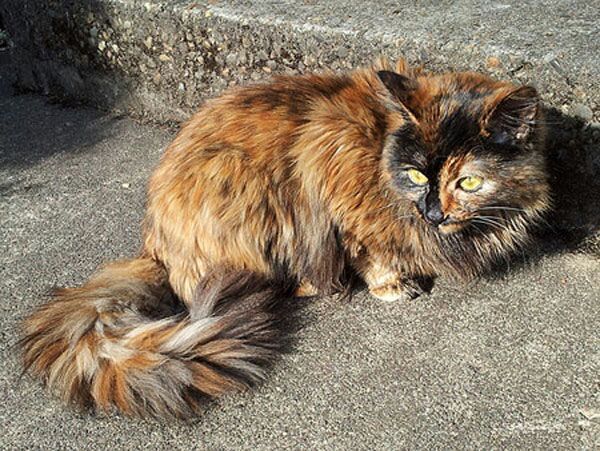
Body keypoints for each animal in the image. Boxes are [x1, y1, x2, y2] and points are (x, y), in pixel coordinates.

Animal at [22, 58, 548, 418]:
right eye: (418, 175)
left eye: (469, 182)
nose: (434, 213)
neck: (381, 151)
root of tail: (154, 244)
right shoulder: (334, 175)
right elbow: (370, 250)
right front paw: (392, 283)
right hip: (245, 191)